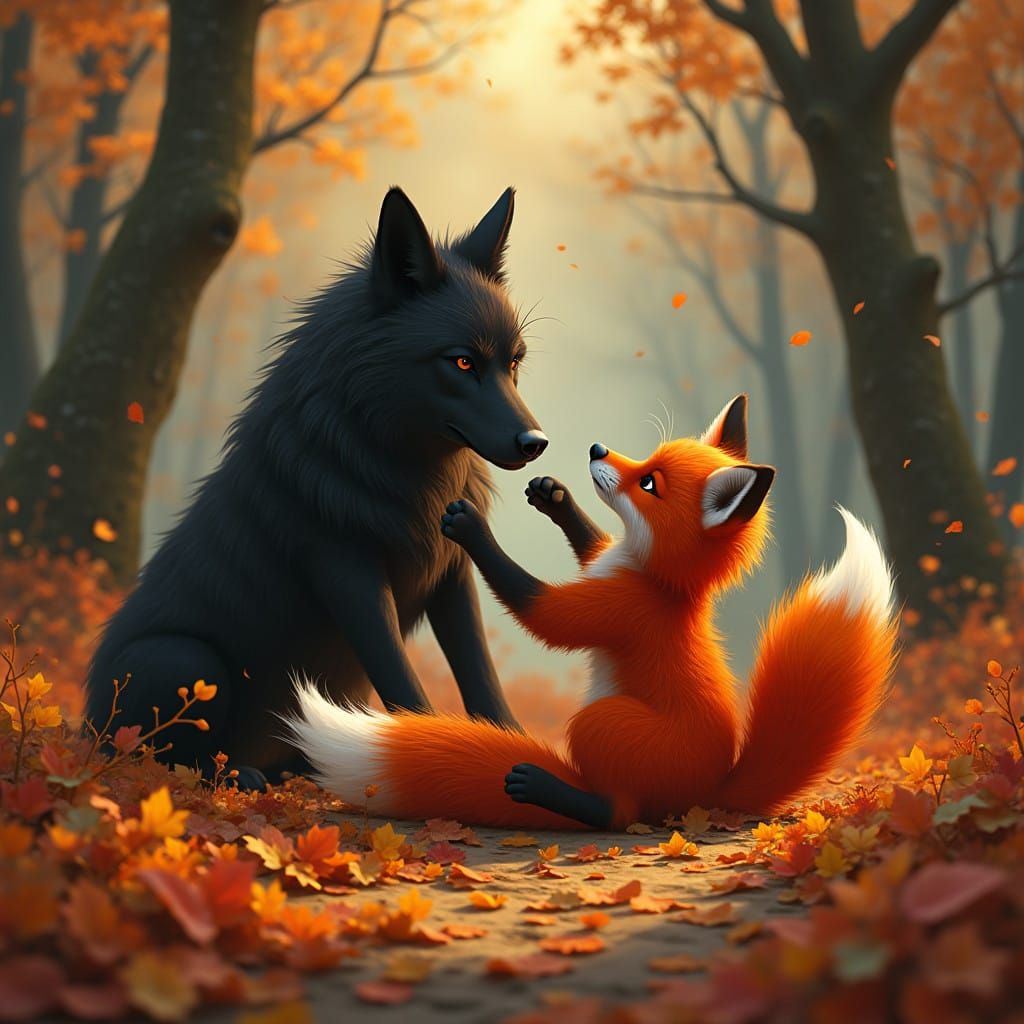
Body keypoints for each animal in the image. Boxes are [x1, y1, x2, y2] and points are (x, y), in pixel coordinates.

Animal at [86, 187, 549, 789]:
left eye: (513, 362)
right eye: (463, 362)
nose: (536, 442)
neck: (409, 477)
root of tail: (84, 726)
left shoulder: (452, 571)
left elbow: (480, 674)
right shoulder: (347, 572)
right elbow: (401, 680)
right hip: (185, 660)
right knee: (165, 761)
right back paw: (243, 776)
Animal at [286, 394, 899, 828]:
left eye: (648, 482)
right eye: (646, 460)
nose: (597, 450)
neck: (654, 578)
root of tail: (711, 793)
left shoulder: (614, 609)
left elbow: (540, 608)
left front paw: (473, 529)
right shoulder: (601, 564)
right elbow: (590, 542)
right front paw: (553, 496)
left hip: (601, 724)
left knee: (619, 814)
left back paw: (542, 789)